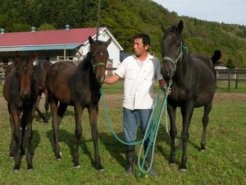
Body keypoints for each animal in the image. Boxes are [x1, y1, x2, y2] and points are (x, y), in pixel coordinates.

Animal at [45, 36, 111, 171]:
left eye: (107, 55)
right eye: (93, 56)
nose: (100, 77)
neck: (87, 82)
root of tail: (52, 68)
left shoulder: (93, 107)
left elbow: (94, 132)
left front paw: (98, 163)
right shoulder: (78, 106)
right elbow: (78, 131)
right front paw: (76, 161)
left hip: (63, 103)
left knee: (58, 121)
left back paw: (58, 150)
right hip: (53, 100)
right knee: (54, 122)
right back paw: (57, 154)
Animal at [161, 20, 221, 172]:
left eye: (178, 44)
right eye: (162, 43)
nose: (166, 72)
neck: (181, 78)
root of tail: (210, 61)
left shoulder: (189, 104)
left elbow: (185, 134)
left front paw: (183, 164)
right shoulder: (171, 104)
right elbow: (175, 131)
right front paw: (172, 159)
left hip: (208, 103)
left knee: (205, 121)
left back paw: (202, 146)